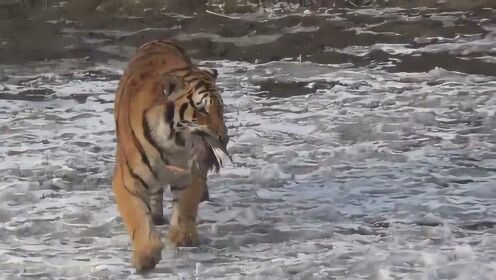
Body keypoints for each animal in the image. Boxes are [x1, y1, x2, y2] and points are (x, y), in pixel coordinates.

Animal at [111, 39, 230, 272]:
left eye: (220, 108)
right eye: (202, 110)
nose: (224, 138)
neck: (173, 144)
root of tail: (158, 40)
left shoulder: (192, 172)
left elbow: (185, 208)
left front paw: (183, 238)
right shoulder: (127, 182)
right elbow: (137, 218)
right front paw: (146, 255)